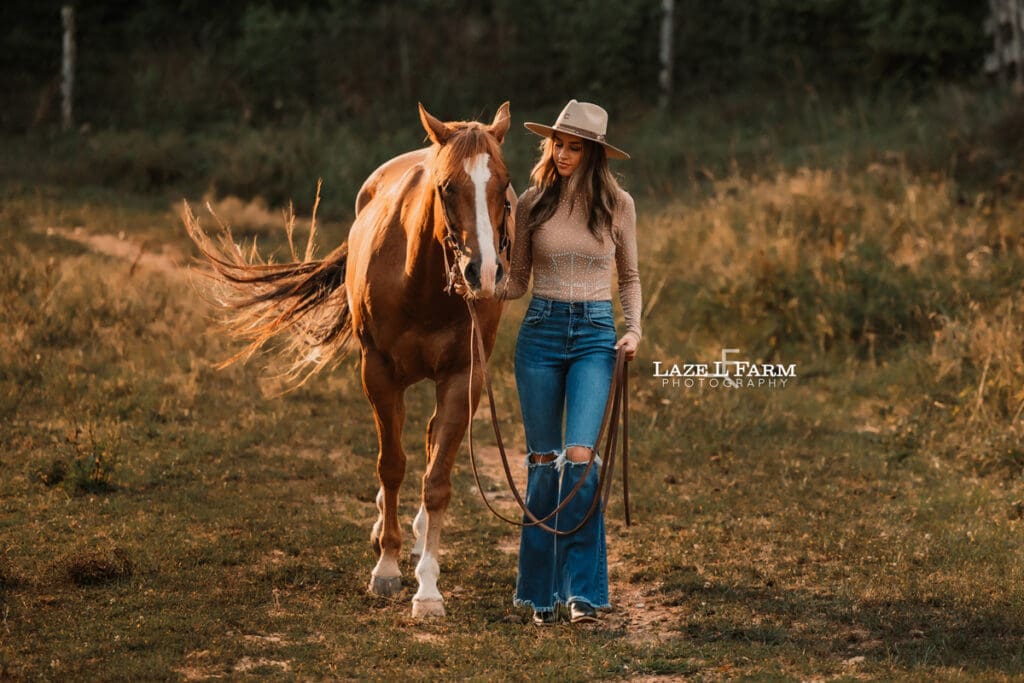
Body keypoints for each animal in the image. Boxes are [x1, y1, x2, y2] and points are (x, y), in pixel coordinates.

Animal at [184, 103, 514, 618]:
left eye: (504, 184)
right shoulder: (377, 373)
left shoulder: (465, 378)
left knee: (429, 441)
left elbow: (437, 479)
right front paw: (386, 568)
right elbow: (391, 465)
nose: (483, 273)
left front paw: (427, 588)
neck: (421, 281)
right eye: (446, 186)